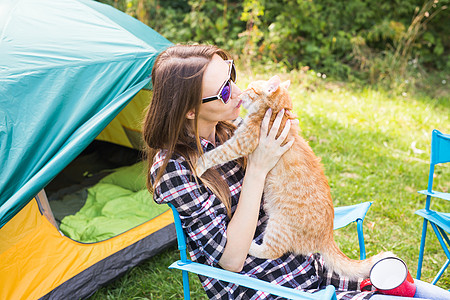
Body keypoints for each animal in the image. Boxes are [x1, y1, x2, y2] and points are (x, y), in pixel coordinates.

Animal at [195, 74, 392, 278]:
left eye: (250, 88)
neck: (275, 112)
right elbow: (234, 125)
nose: (240, 92)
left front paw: (200, 163)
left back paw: (251, 247)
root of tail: (328, 235)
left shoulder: (242, 143)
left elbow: (217, 153)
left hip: (278, 225)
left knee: (272, 251)